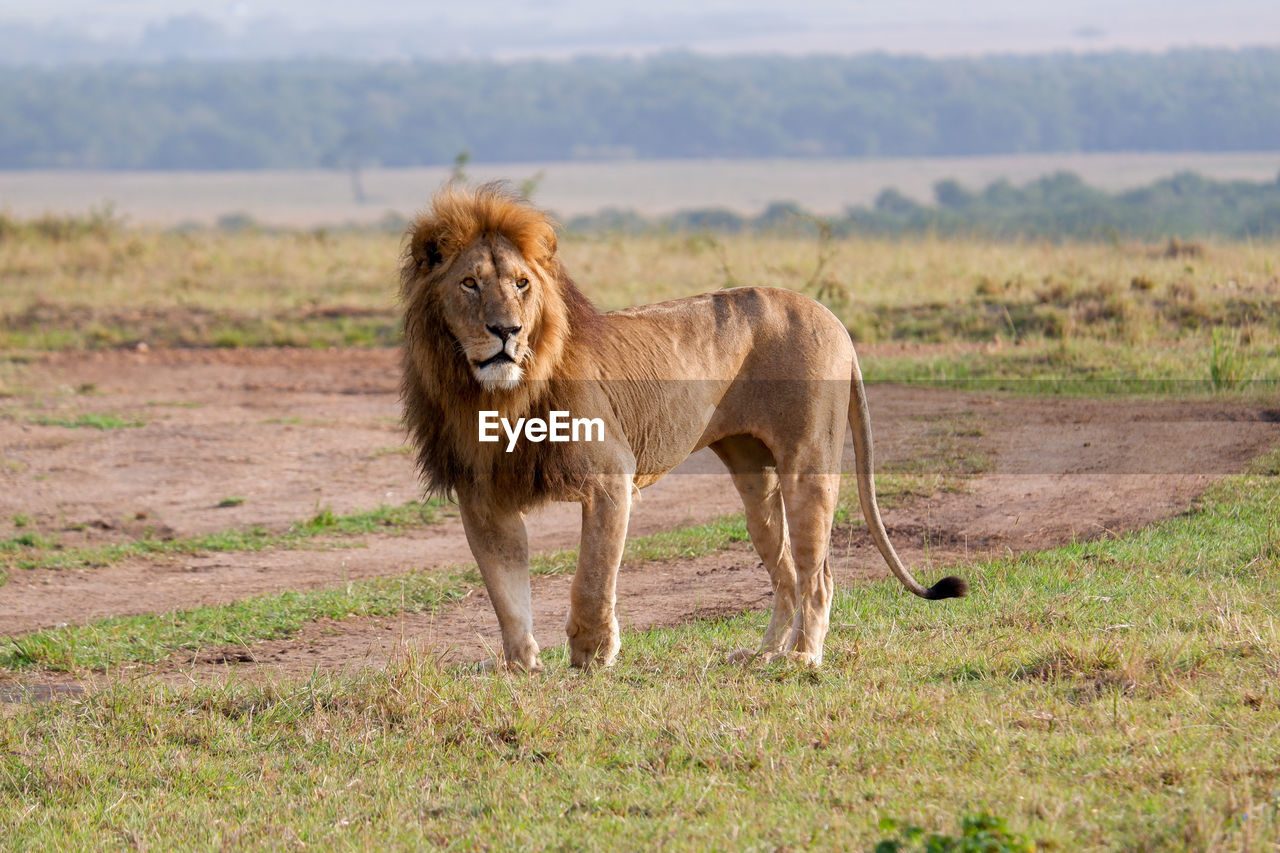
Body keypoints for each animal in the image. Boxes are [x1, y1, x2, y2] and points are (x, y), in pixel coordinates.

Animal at [396, 184, 962, 671]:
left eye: (522, 284)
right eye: (469, 283)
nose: (507, 331)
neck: (493, 395)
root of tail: (833, 319)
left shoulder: (610, 477)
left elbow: (592, 577)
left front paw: (592, 654)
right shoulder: (482, 498)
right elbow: (506, 594)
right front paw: (521, 667)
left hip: (808, 464)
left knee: (817, 573)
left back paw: (802, 658)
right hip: (754, 477)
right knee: (784, 571)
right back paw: (764, 654)